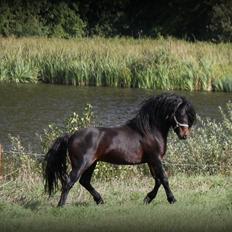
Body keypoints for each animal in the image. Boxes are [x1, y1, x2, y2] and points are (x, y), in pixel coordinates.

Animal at [43, 92, 196, 207]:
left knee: (84, 181)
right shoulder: (155, 159)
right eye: (180, 114)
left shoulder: (151, 161)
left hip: (92, 163)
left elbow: (157, 180)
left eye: (188, 115)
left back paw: (100, 200)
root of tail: (71, 136)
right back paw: (61, 206)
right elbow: (163, 178)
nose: (184, 135)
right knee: (69, 182)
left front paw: (148, 198)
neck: (149, 130)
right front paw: (172, 199)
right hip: (81, 164)